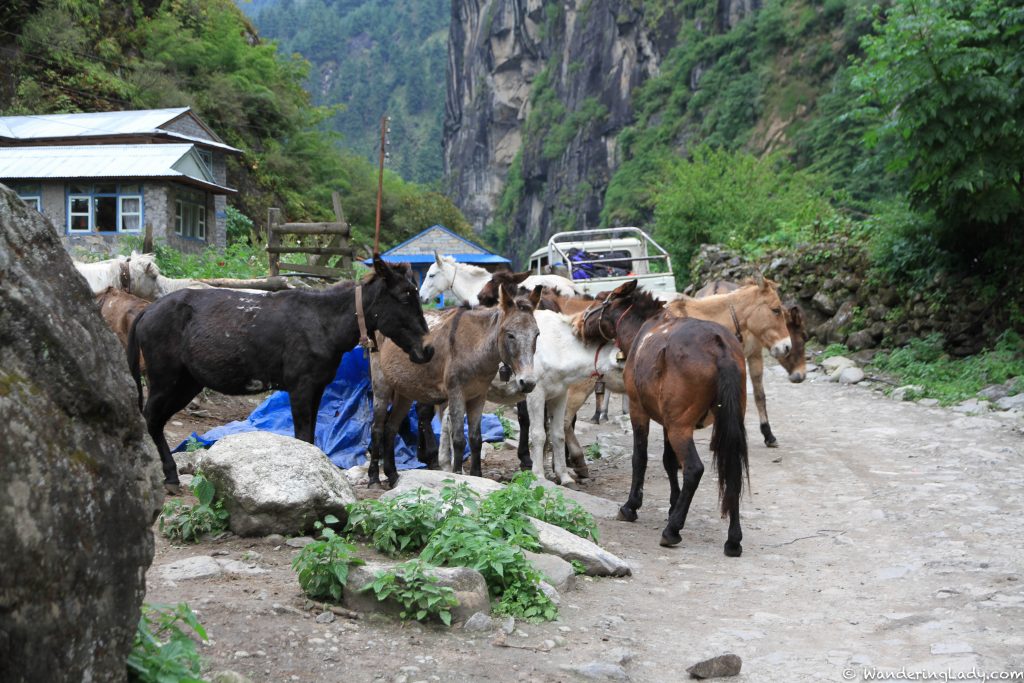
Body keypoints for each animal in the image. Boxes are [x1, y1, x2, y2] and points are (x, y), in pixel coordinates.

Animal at [128, 255, 432, 491]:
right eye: (404, 296)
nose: (428, 350)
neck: (324, 323)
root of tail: (147, 311)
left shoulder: (316, 389)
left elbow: (309, 438)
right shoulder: (300, 389)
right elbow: (303, 437)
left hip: (186, 384)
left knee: (155, 421)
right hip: (166, 380)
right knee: (150, 419)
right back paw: (165, 476)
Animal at [370, 282, 544, 485]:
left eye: (537, 334)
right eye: (510, 335)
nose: (528, 382)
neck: (474, 346)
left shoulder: (478, 396)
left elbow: (476, 439)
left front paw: (477, 475)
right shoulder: (456, 394)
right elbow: (459, 438)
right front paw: (457, 475)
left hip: (405, 391)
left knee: (391, 428)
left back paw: (393, 475)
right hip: (381, 384)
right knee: (377, 428)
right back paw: (374, 477)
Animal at [436, 309, 618, 485]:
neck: (558, 346)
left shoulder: (560, 395)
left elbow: (558, 434)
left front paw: (564, 477)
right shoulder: (536, 394)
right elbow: (538, 433)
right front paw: (539, 475)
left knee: (448, 420)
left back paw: (446, 464)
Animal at [577, 282, 753, 557]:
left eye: (598, 298)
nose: (578, 323)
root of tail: (719, 344)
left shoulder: (641, 411)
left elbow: (640, 458)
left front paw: (632, 506)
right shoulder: (668, 422)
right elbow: (669, 462)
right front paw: (673, 504)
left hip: (680, 428)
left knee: (694, 469)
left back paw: (673, 530)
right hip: (723, 424)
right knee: (732, 470)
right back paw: (733, 539)